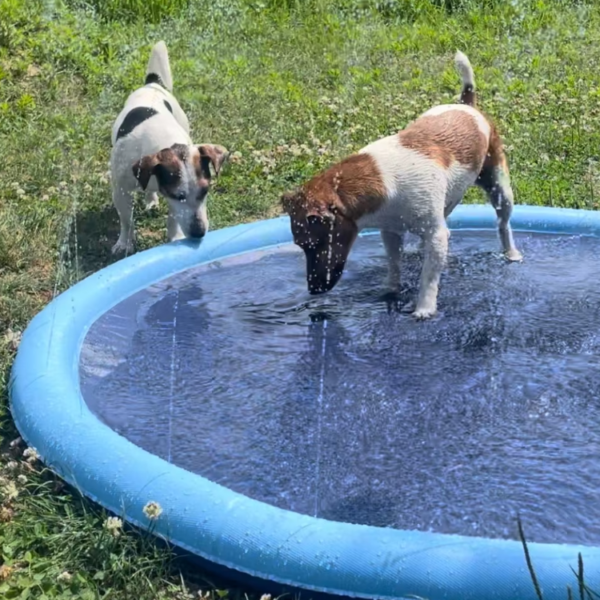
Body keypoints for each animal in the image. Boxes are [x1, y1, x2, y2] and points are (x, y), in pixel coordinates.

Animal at [109, 40, 229, 253]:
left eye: (205, 191)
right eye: (179, 195)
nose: (199, 233)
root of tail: (153, 83)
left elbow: (173, 219)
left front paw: (175, 238)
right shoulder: (120, 191)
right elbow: (126, 220)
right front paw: (124, 243)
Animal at [282, 52, 520, 318]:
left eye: (313, 245)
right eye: (300, 246)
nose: (313, 290)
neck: (381, 181)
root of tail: (466, 104)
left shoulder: (435, 235)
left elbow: (428, 278)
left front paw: (424, 309)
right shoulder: (391, 231)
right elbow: (394, 264)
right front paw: (391, 291)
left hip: (500, 188)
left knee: (503, 224)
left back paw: (511, 253)